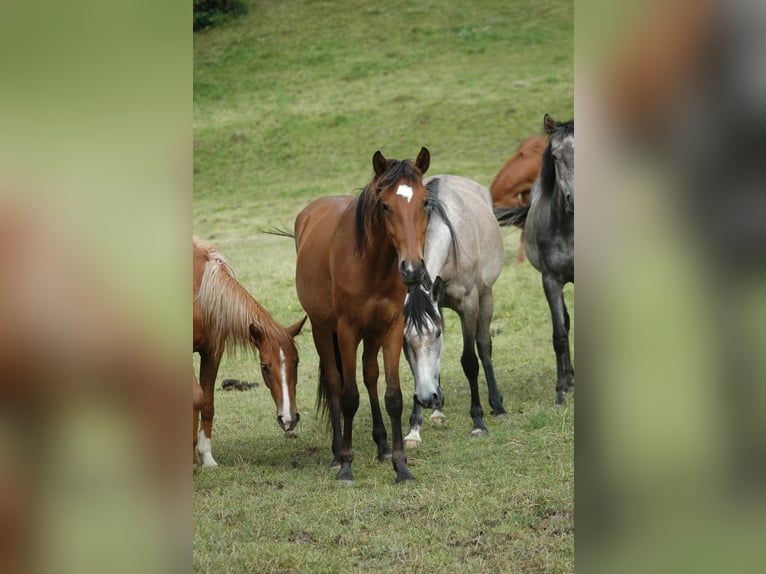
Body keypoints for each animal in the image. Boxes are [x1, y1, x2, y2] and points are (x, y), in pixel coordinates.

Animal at [193, 237, 306, 468]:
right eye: (265, 367)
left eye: (296, 362)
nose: (288, 420)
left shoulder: (212, 353)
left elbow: (207, 403)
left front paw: (207, 458)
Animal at [293, 148, 431, 484]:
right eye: (385, 205)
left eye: (425, 202)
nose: (412, 269)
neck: (372, 263)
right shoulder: (347, 330)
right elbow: (349, 396)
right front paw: (346, 464)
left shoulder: (391, 327)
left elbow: (392, 395)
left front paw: (400, 465)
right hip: (322, 329)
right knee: (335, 383)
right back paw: (336, 452)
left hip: (372, 333)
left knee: (370, 375)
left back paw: (381, 445)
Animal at [402, 175, 508, 447]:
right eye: (406, 341)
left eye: (436, 334)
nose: (426, 397)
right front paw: (414, 429)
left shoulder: (469, 305)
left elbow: (469, 360)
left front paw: (478, 422)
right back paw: (438, 409)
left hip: (486, 297)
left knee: (484, 346)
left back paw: (498, 406)